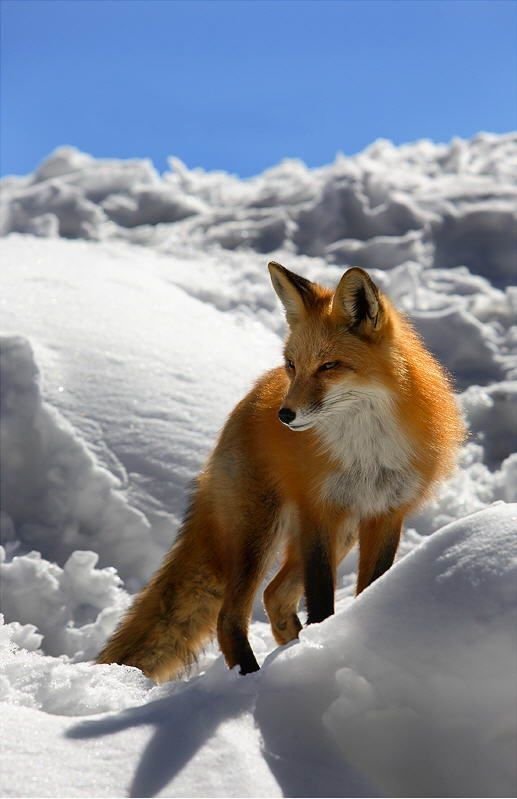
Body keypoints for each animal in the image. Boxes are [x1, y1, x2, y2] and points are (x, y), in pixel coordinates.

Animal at [97, 262, 465, 682]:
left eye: (329, 366)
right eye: (293, 365)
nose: (285, 416)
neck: (365, 448)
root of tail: (245, 404)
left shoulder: (386, 512)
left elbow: (371, 586)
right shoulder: (318, 510)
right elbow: (321, 601)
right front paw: (321, 649)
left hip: (340, 532)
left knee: (274, 596)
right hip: (259, 533)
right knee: (230, 617)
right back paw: (252, 676)